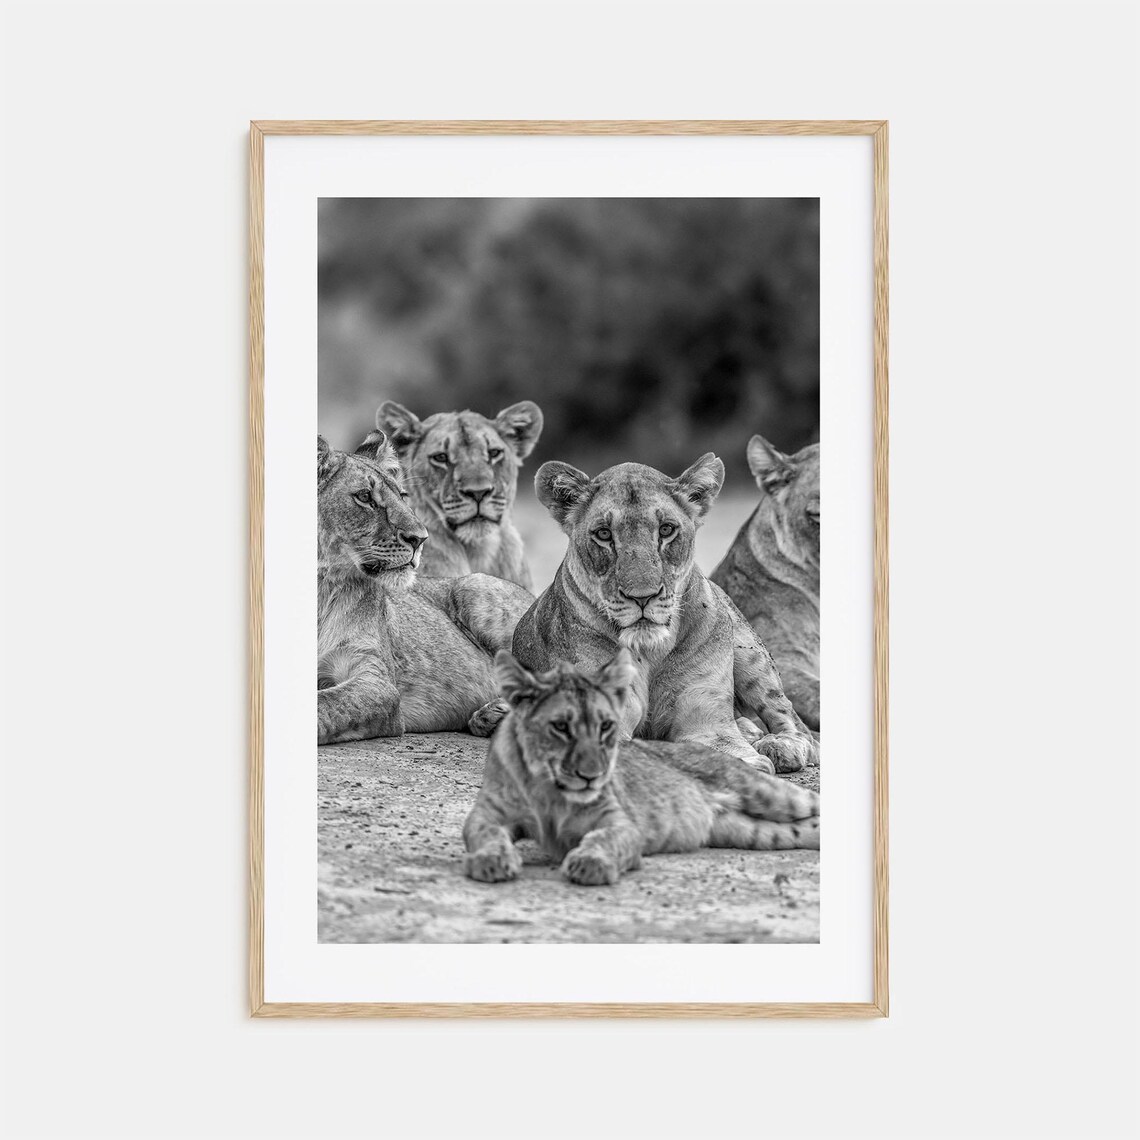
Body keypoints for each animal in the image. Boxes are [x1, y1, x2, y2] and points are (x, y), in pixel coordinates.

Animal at [317, 432, 533, 744]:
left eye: (403, 496)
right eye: (365, 497)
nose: (420, 539)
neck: (320, 588)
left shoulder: (377, 682)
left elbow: (324, 705)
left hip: (473, 586)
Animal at [463, 649, 820, 886]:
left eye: (606, 726)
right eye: (561, 727)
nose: (592, 775)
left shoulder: (621, 823)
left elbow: (605, 839)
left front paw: (590, 864)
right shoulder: (487, 815)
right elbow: (485, 833)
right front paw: (492, 861)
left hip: (766, 792)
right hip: (749, 831)